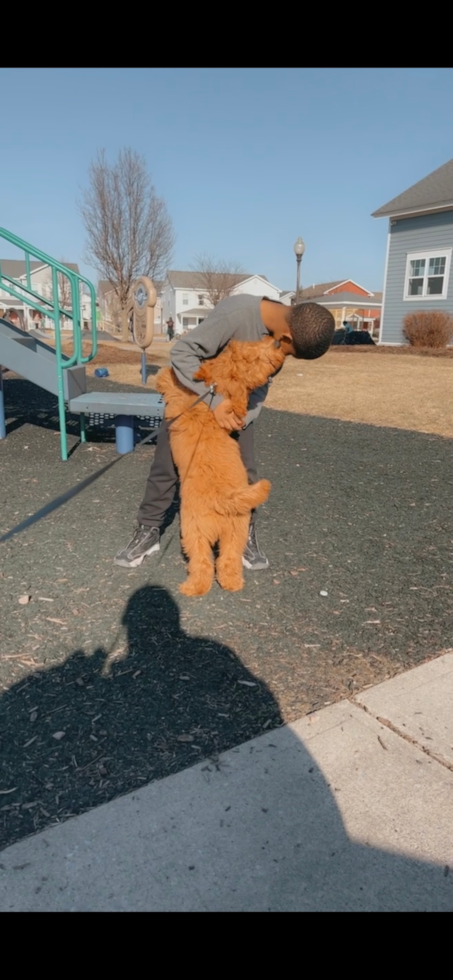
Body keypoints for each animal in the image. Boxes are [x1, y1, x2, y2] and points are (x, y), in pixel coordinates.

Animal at [154, 336, 282, 596]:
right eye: (248, 349)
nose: (274, 341)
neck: (212, 398)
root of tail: (222, 500)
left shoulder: (178, 396)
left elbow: (169, 379)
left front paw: (162, 374)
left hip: (193, 532)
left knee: (202, 563)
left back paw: (192, 588)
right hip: (236, 532)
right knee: (227, 561)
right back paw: (232, 583)